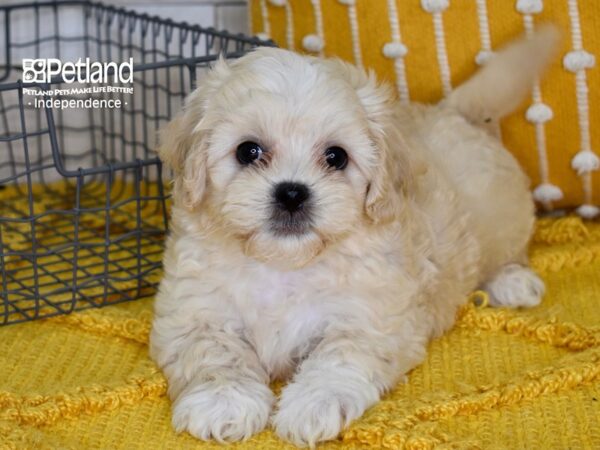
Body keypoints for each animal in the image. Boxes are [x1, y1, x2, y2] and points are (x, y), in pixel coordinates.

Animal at [149, 27, 556, 446]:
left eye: (336, 157)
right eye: (248, 151)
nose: (292, 193)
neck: (284, 264)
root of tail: (453, 112)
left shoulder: (375, 318)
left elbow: (338, 357)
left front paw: (312, 407)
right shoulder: (193, 310)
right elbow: (214, 352)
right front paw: (223, 401)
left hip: (503, 218)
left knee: (509, 250)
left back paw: (513, 282)